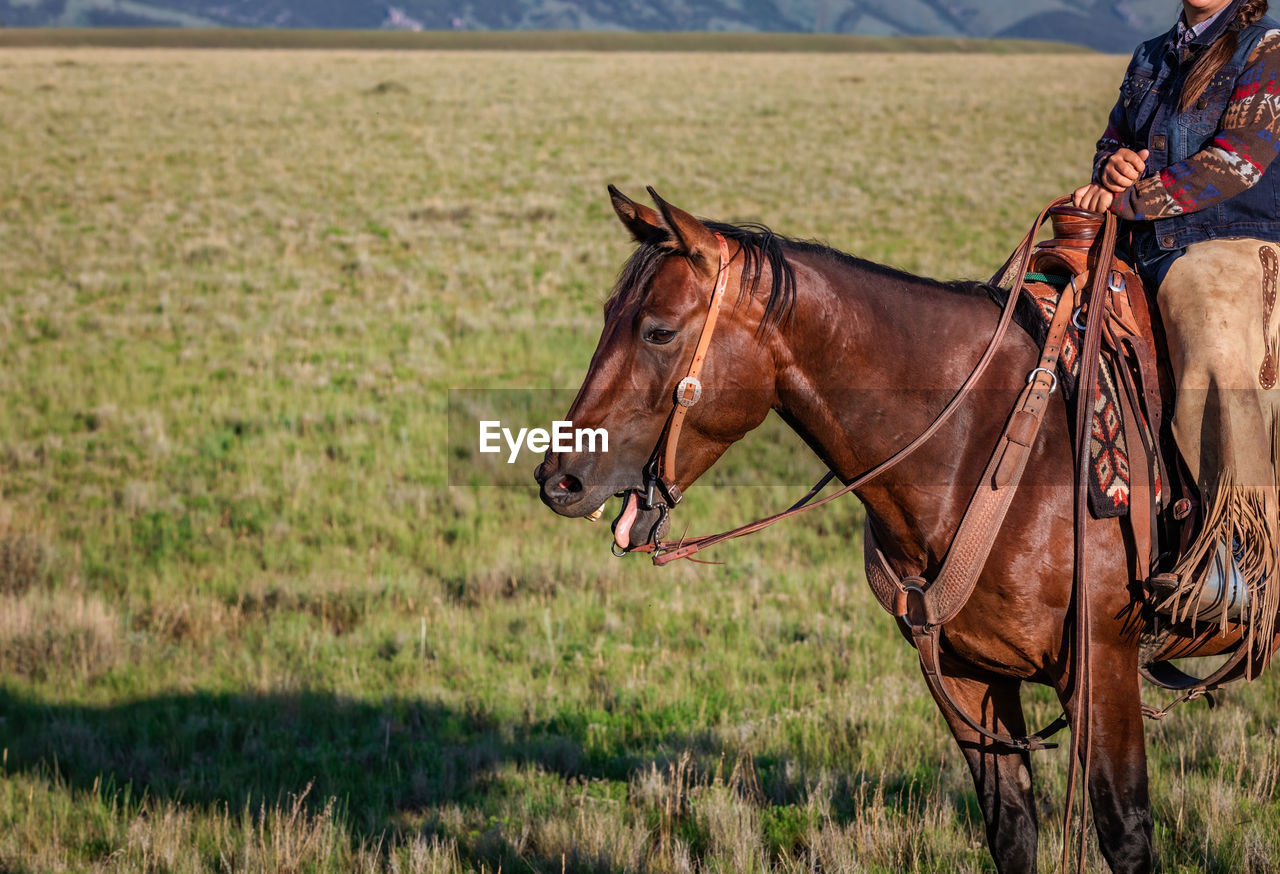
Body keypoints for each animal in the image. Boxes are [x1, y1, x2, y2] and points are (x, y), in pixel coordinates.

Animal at [532, 186, 1249, 874]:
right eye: (606, 316)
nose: (559, 479)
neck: (987, 444)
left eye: (658, 332)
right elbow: (1012, 831)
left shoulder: (1104, 668)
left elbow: (1125, 833)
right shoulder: (966, 675)